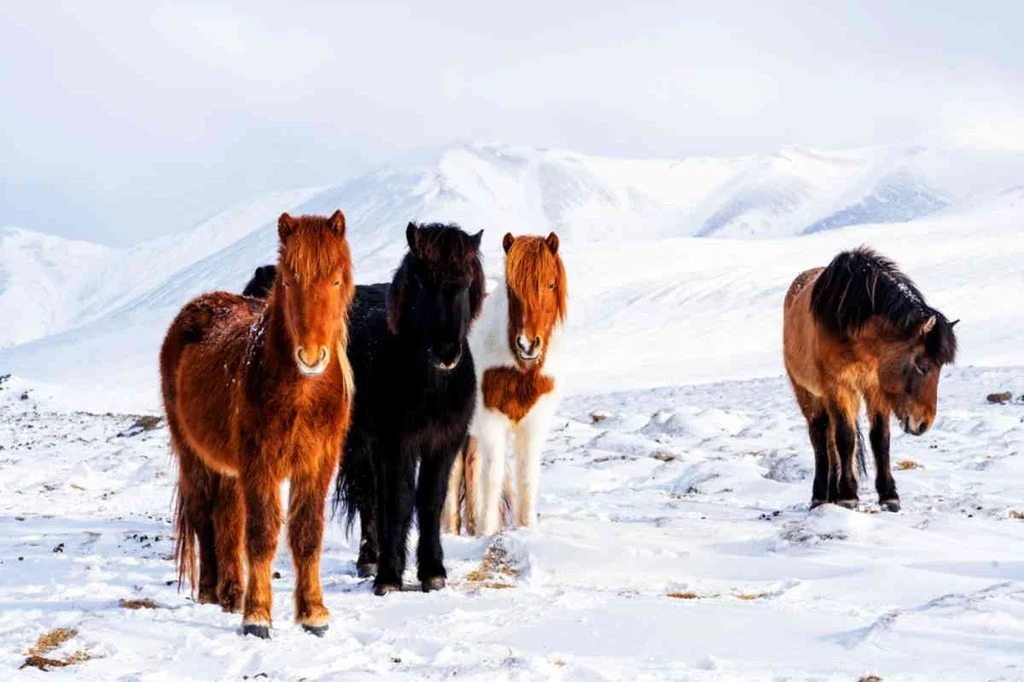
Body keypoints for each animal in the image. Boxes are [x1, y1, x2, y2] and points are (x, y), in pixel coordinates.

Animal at [157, 209, 354, 634]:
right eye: (288, 279)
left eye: (335, 279)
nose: (311, 356)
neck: (302, 395)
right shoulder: (260, 462)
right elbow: (262, 533)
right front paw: (258, 616)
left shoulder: (318, 465)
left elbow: (307, 533)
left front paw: (313, 613)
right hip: (194, 454)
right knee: (204, 515)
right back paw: (212, 592)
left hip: (231, 468)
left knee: (228, 518)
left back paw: (232, 593)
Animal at [442, 231, 569, 532]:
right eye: (511, 289)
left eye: (550, 284)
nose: (527, 345)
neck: (520, 370)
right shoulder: (492, 421)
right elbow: (493, 476)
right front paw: (488, 531)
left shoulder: (534, 424)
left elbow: (527, 476)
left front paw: (526, 528)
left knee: (470, 466)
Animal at [782, 245, 958, 509]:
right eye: (922, 365)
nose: (923, 424)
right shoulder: (838, 386)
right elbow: (845, 437)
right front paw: (848, 495)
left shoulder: (875, 387)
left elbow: (880, 439)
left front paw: (889, 496)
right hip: (807, 393)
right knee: (820, 437)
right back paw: (820, 495)